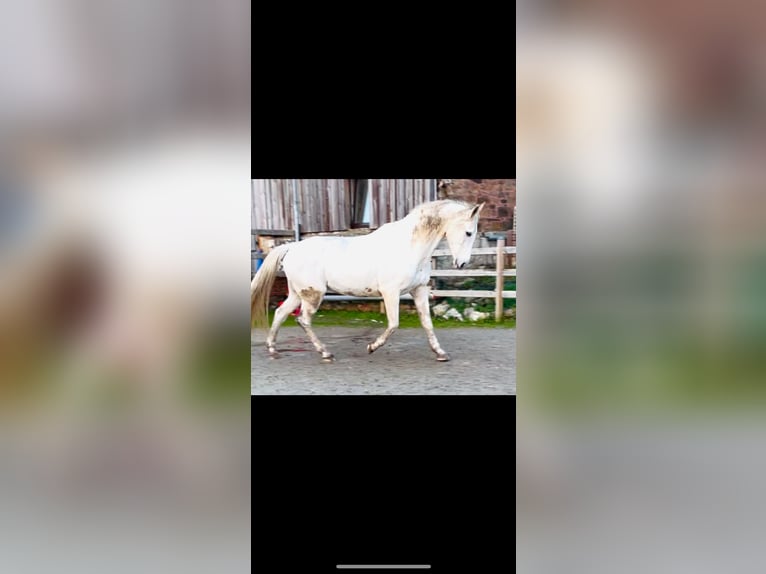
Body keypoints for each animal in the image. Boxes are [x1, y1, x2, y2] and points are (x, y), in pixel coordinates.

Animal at [251, 199, 485, 362]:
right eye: (468, 232)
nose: (462, 263)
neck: (410, 246)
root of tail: (292, 247)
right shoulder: (391, 292)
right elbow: (393, 324)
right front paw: (372, 347)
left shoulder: (419, 290)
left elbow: (427, 323)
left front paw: (440, 353)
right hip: (313, 294)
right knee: (303, 320)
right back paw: (325, 353)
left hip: (297, 293)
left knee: (281, 312)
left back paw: (273, 348)